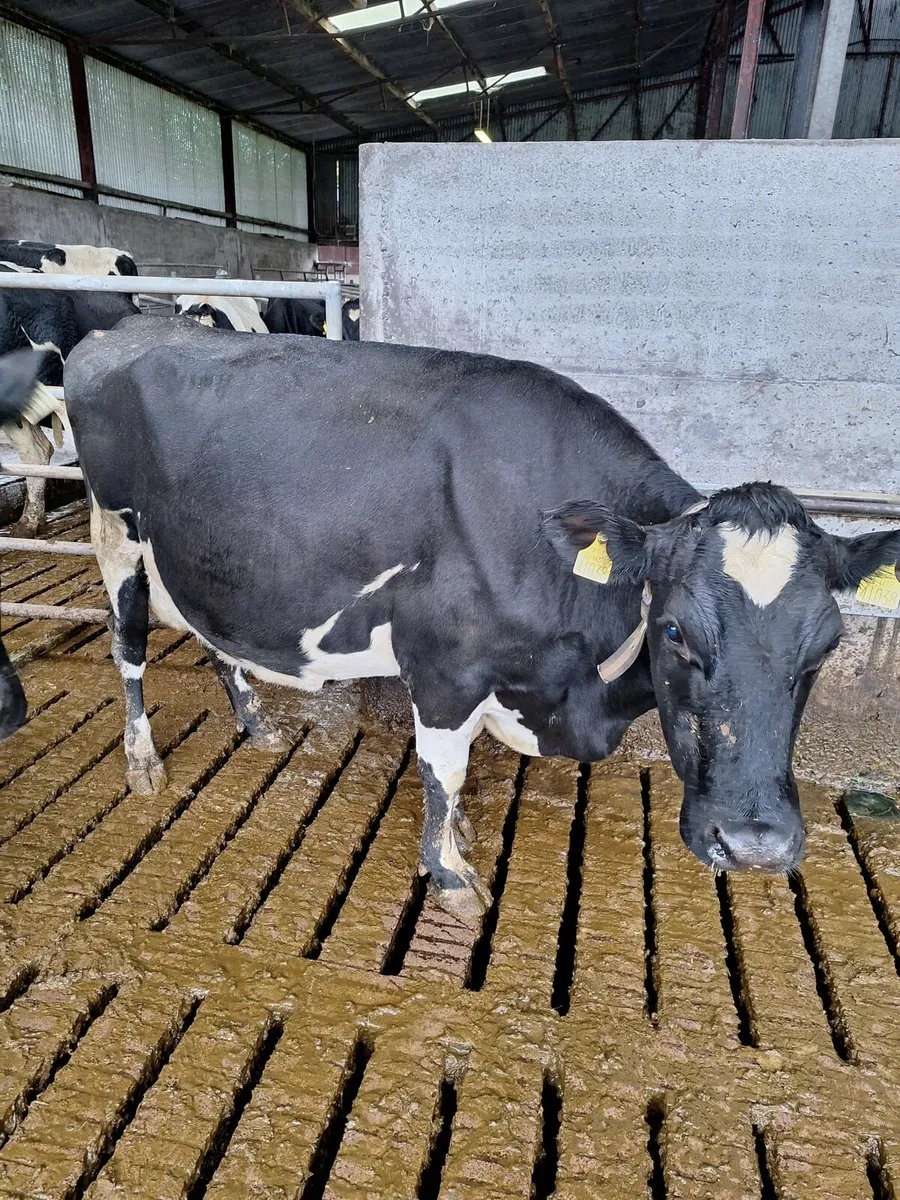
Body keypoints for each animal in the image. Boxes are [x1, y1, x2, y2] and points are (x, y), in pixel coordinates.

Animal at [64, 317, 900, 920]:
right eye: (674, 631)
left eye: (827, 646)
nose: (755, 844)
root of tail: (125, 327)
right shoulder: (443, 666)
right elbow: (445, 768)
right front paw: (451, 872)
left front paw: (458, 837)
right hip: (117, 535)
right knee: (128, 647)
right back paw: (142, 762)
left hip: (200, 559)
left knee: (213, 635)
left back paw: (256, 723)